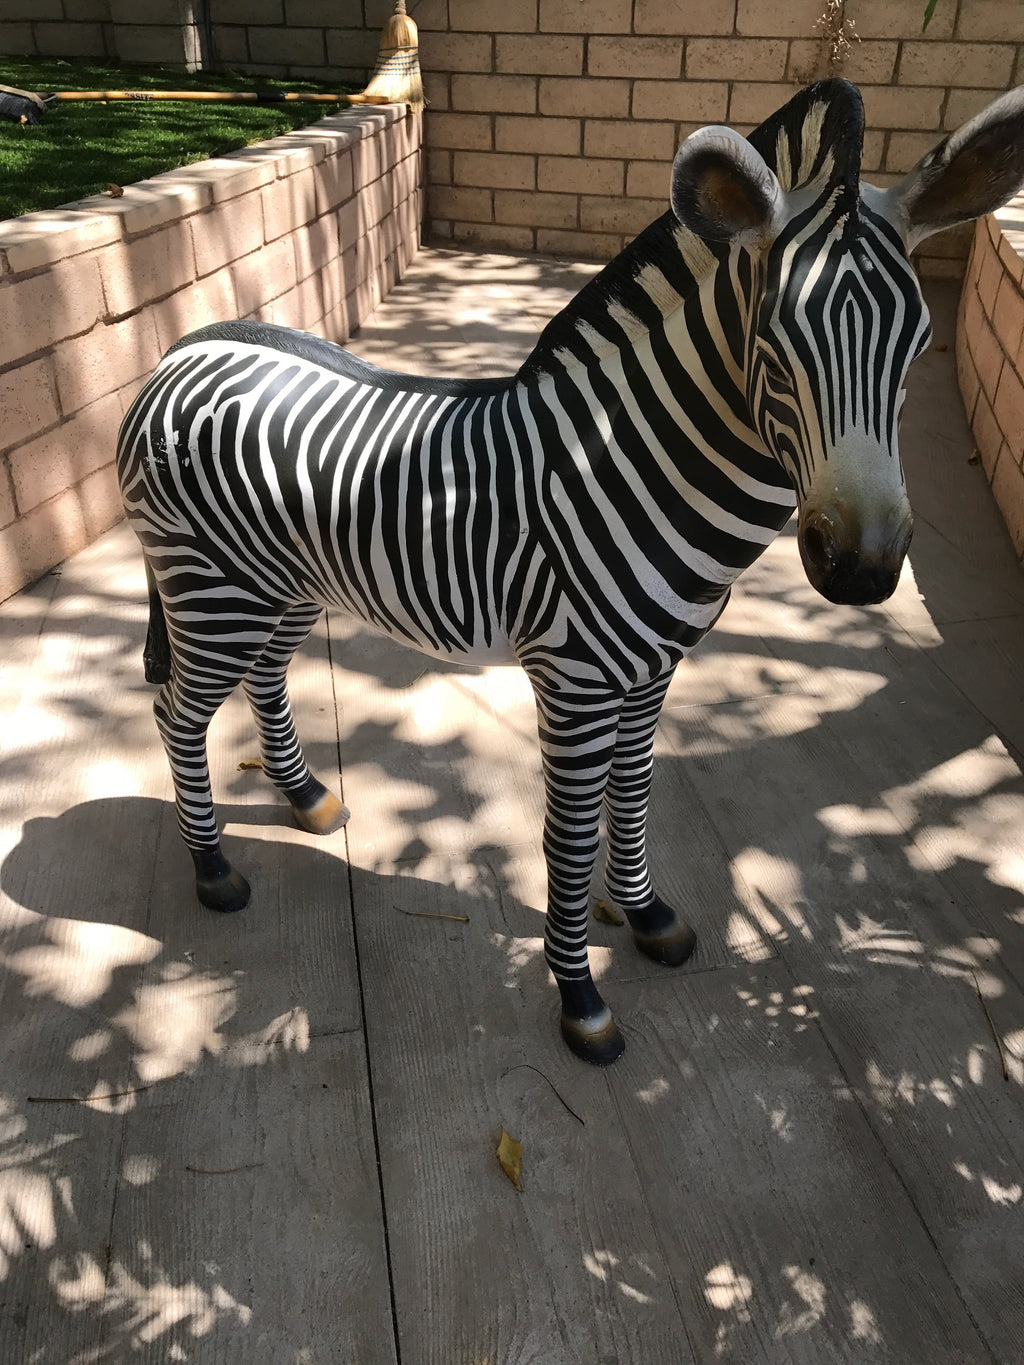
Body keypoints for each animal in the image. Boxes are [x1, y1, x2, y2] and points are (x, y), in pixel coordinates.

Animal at [117, 80, 1024, 1063]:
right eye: (774, 346)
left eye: (920, 346)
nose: (859, 566)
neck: (632, 465)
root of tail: (182, 349)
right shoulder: (578, 678)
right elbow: (572, 834)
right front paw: (581, 996)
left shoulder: (653, 671)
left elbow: (633, 799)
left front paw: (647, 915)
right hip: (211, 588)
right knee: (177, 713)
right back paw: (214, 869)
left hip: (278, 584)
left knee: (267, 676)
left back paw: (309, 800)